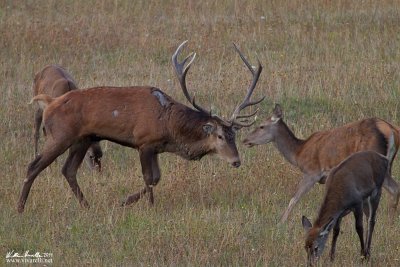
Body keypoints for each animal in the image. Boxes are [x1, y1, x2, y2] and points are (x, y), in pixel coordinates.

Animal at [18, 41, 266, 214]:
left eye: (234, 135)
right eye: (220, 136)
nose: (236, 161)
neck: (169, 126)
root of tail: (50, 103)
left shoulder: (156, 147)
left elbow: (156, 177)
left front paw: (126, 201)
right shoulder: (144, 142)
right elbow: (150, 178)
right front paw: (145, 206)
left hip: (83, 139)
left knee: (68, 170)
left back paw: (87, 206)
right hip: (60, 135)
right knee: (34, 165)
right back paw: (20, 207)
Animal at [242, 103, 400, 223]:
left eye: (262, 126)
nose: (245, 140)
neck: (299, 153)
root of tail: (391, 130)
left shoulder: (313, 172)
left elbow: (294, 198)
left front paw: (281, 222)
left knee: (393, 189)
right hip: (387, 165)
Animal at [302, 132, 396, 266]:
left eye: (316, 247)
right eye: (305, 246)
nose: (310, 263)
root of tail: (385, 159)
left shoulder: (357, 203)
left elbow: (359, 228)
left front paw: (362, 256)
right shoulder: (339, 214)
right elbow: (335, 231)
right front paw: (331, 257)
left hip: (377, 191)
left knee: (371, 220)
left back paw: (367, 252)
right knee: (369, 218)